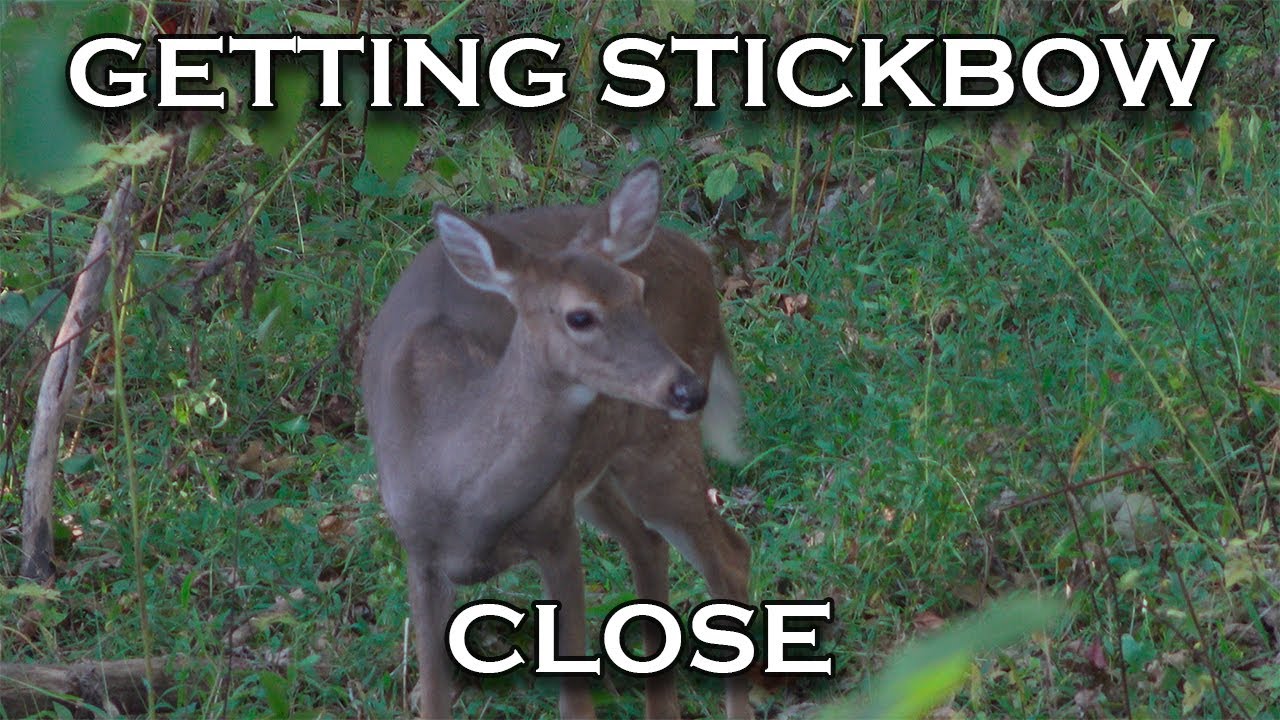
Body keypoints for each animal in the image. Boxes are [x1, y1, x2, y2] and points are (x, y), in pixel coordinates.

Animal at [361, 161, 753, 719]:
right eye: (579, 316)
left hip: (653, 449)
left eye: (638, 290)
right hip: (594, 473)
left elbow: (575, 700)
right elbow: (434, 699)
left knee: (728, 557)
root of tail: (699, 254)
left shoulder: (555, 531)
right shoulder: (420, 553)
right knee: (650, 544)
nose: (688, 389)